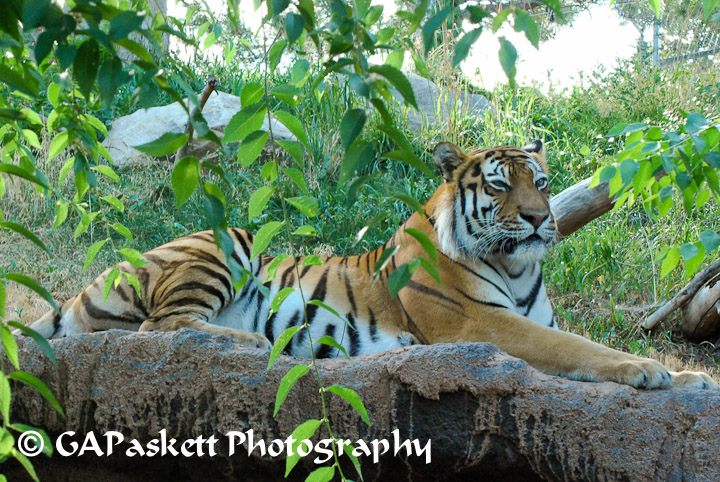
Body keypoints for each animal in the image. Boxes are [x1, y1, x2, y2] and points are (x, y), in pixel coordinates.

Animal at [27, 140, 718, 390]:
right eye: (500, 186)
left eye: (542, 184)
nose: (536, 218)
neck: (520, 268)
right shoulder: (478, 325)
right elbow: (579, 347)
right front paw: (646, 369)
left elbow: (573, 340)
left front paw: (692, 378)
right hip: (224, 243)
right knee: (160, 328)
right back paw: (256, 345)